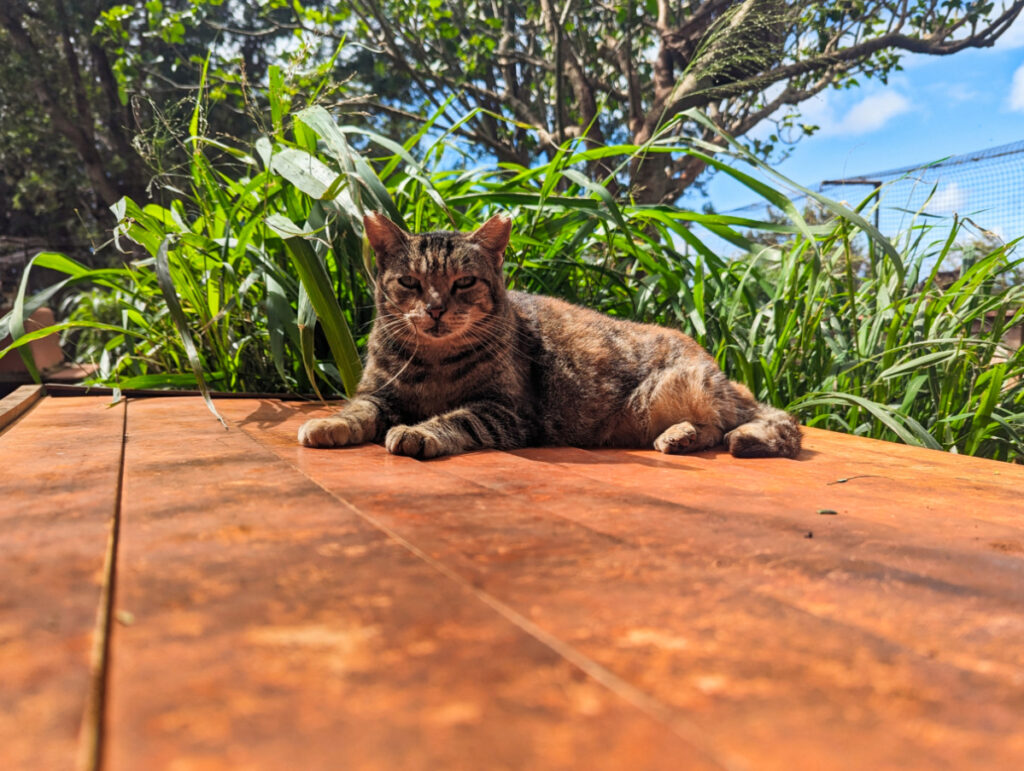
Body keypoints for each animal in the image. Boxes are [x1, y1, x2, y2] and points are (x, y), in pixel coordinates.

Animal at [296, 211, 798, 456]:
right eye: (409, 282)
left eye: (464, 282)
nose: (435, 309)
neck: (434, 364)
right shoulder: (378, 394)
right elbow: (357, 411)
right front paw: (328, 424)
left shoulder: (507, 411)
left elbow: (457, 419)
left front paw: (419, 432)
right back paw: (679, 437)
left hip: (674, 389)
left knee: (738, 423)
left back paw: (691, 435)